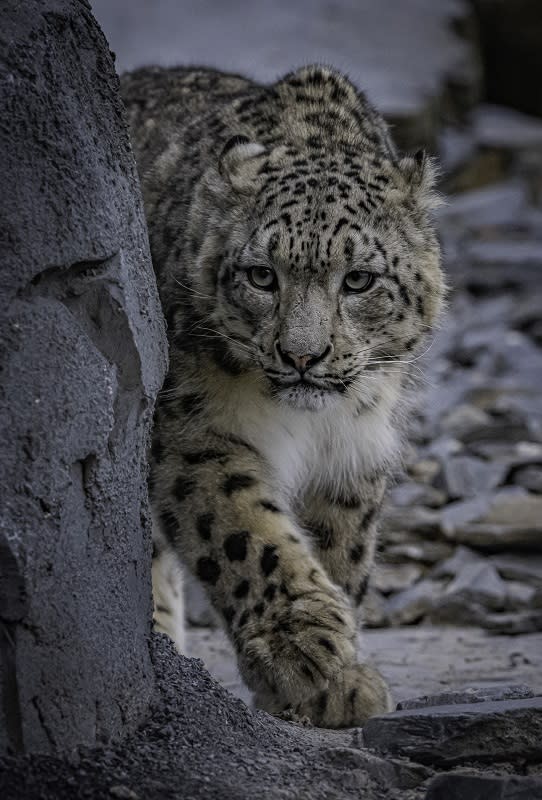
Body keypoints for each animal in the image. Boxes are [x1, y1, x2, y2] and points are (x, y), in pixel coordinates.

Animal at [121, 64, 444, 724]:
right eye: (261, 276)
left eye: (359, 279)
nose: (302, 356)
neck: (313, 424)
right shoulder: (193, 431)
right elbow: (244, 530)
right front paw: (300, 645)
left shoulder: (355, 446)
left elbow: (340, 548)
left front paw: (337, 683)